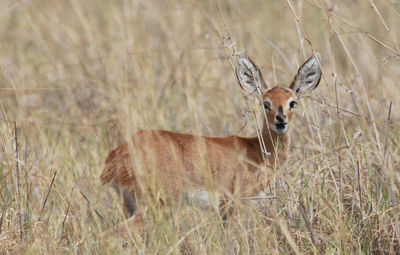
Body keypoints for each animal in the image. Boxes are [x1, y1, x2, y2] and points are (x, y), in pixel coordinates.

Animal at [100, 51, 322, 237]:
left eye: (292, 102)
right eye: (265, 103)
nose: (280, 120)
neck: (258, 151)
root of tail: (117, 155)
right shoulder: (235, 204)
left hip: (130, 204)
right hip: (156, 205)